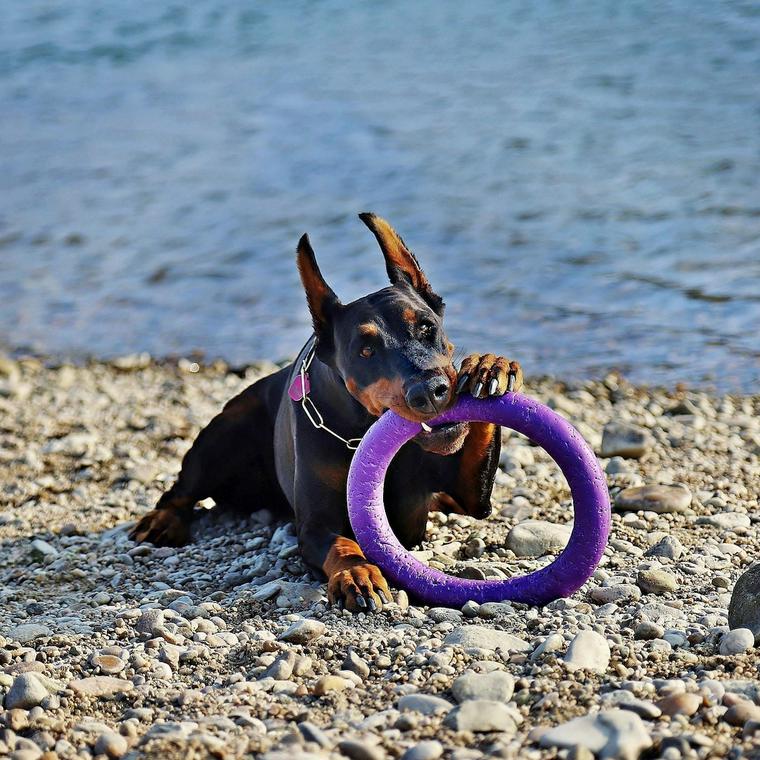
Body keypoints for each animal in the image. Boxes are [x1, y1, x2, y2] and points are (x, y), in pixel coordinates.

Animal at [131, 214, 524, 612]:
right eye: (365, 350)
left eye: (426, 327)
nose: (428, 392)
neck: (360, 431)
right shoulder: (315, 525)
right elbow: (341, 543)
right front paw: (358, 573)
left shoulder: (468, 496)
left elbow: (477, 472)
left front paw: (488, 367)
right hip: (219, 440)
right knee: (180, 490)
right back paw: (160, 521)